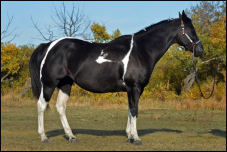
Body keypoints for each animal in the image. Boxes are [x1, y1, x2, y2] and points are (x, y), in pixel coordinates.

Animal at [28, 10, 204, 145]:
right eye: (191, 29)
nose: (200, 50)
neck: (141, 50)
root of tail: (48, 46)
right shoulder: (134, 87)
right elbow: (134, 110)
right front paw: (136, 138)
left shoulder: (132, 89)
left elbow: (130, 110)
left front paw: (129, 136)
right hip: (49, 84)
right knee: (41, 106)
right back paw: (44, 138)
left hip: (65, 84)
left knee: (60, 107)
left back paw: (71, 137)